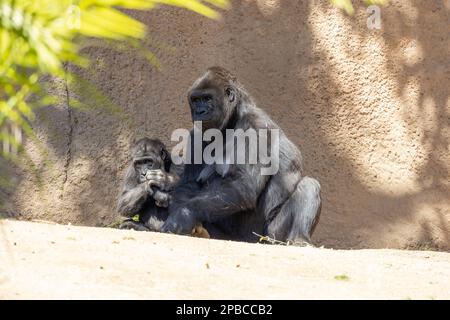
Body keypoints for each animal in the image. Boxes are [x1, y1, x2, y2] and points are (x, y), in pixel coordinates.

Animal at [163, 66, 322, 244]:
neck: (233, 119)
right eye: (196, 100)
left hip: (269, 236)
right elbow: (189, 185)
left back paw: (300, 239)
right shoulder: (197, 134)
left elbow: (244, 184)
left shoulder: (256, 125)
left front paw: (182, 215)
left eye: (207, 98)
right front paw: (182, 216)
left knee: (309, 185)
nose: (199, 112)